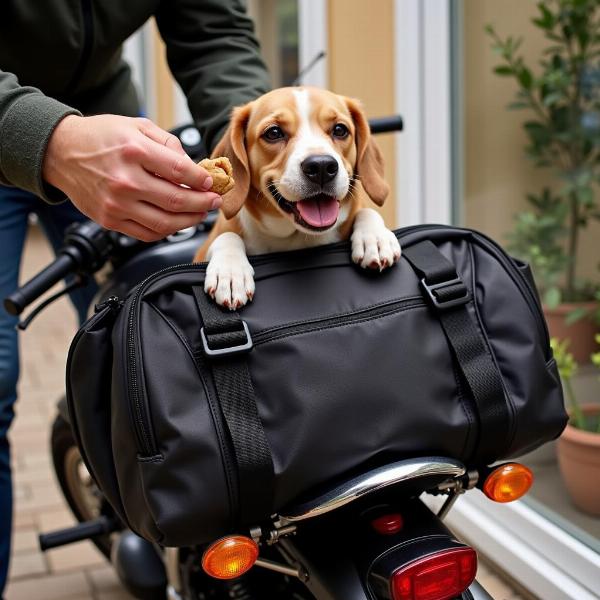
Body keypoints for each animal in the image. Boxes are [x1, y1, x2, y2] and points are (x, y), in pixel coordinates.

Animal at [197, 88, 400, 310]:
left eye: (340, 130)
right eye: (274, 133)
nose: (321, 166)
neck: (296, 239)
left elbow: (367, 211)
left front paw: (376, 238)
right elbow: (227, 236)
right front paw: (230, 271)